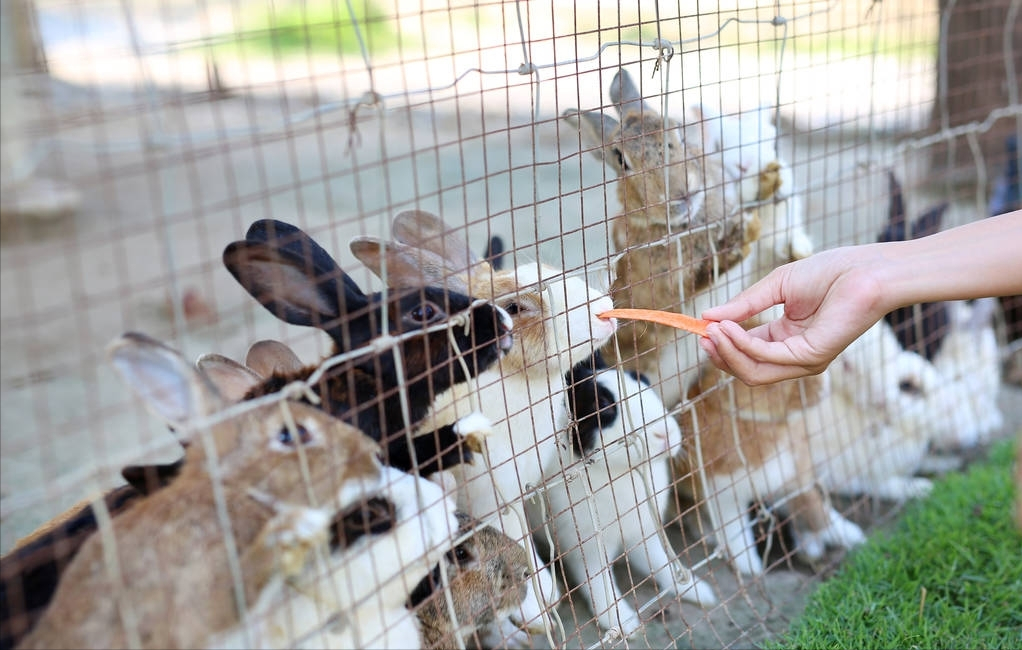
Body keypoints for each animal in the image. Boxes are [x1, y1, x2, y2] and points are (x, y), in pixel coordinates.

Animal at [535, 353, 719, 637]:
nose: (665, 433)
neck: (620, 473)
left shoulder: (643, 533)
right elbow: (600, 585)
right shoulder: (585, 546)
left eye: (643, 381)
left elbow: (663, 562)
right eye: (603, 406)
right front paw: (624, 624)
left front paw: (697, 590)